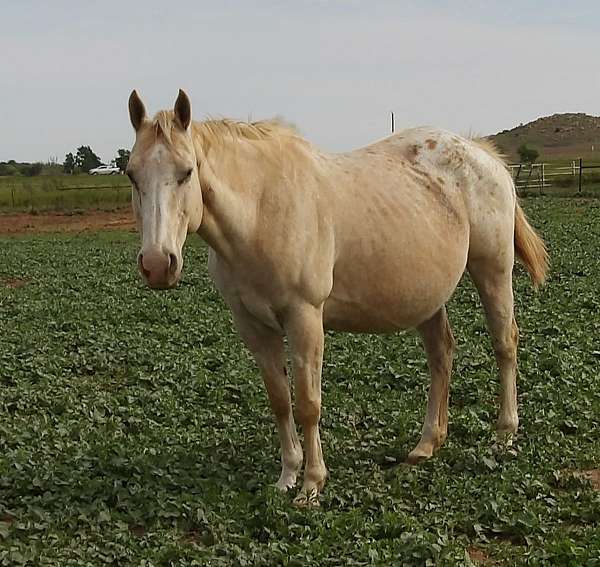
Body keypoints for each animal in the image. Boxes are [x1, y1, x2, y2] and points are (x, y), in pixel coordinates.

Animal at [126, 89, 548, 506]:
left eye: (187, 172)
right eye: (132, 174)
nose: (157, 264)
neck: (261, 211)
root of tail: (481, 153)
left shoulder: (305, 319)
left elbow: (308, 404)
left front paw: (312, 485)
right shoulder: (253, 326)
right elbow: (280, 401)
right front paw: (287, 477)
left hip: (493, 270)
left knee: (504, 343)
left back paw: (504, 435)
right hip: (428, 296)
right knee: (441, 354)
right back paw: (426, 445)